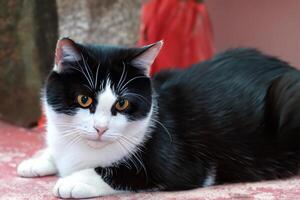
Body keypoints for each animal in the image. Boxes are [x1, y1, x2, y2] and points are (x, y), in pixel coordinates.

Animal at [17, 37, 300, 198]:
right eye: (84, 100)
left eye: (122, 103)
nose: (100, 128)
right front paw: (37, 161)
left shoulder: (186, 166)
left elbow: (123, 172)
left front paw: (74, 181)